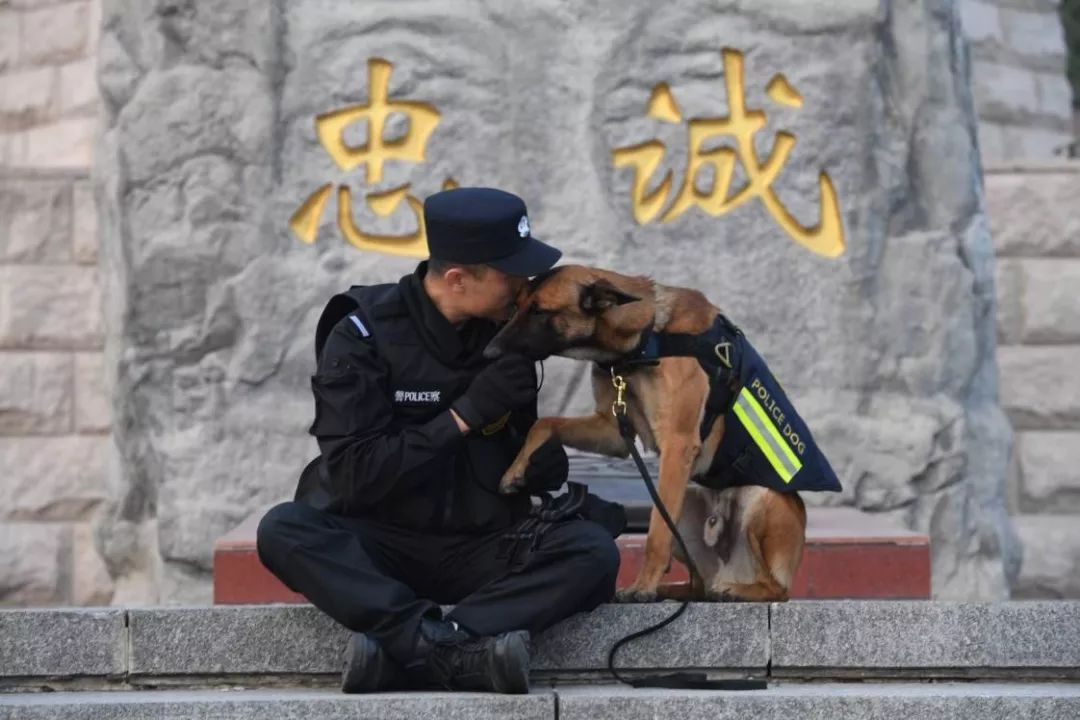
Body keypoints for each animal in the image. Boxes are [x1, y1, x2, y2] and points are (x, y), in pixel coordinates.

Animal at [486, 264, 807, 604]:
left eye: (539, 311)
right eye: (516, 306)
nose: (489, 352)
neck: (644, 337)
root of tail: (727, 570)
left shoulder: (678, 444)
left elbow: (656, 534)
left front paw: (644, 586)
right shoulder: (612, 432)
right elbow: (544, 423)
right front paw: (515, 471)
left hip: (760, 500)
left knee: (776, 589)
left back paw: (737, 590)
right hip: (686, 501)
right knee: (698, 584)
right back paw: (673, 590)